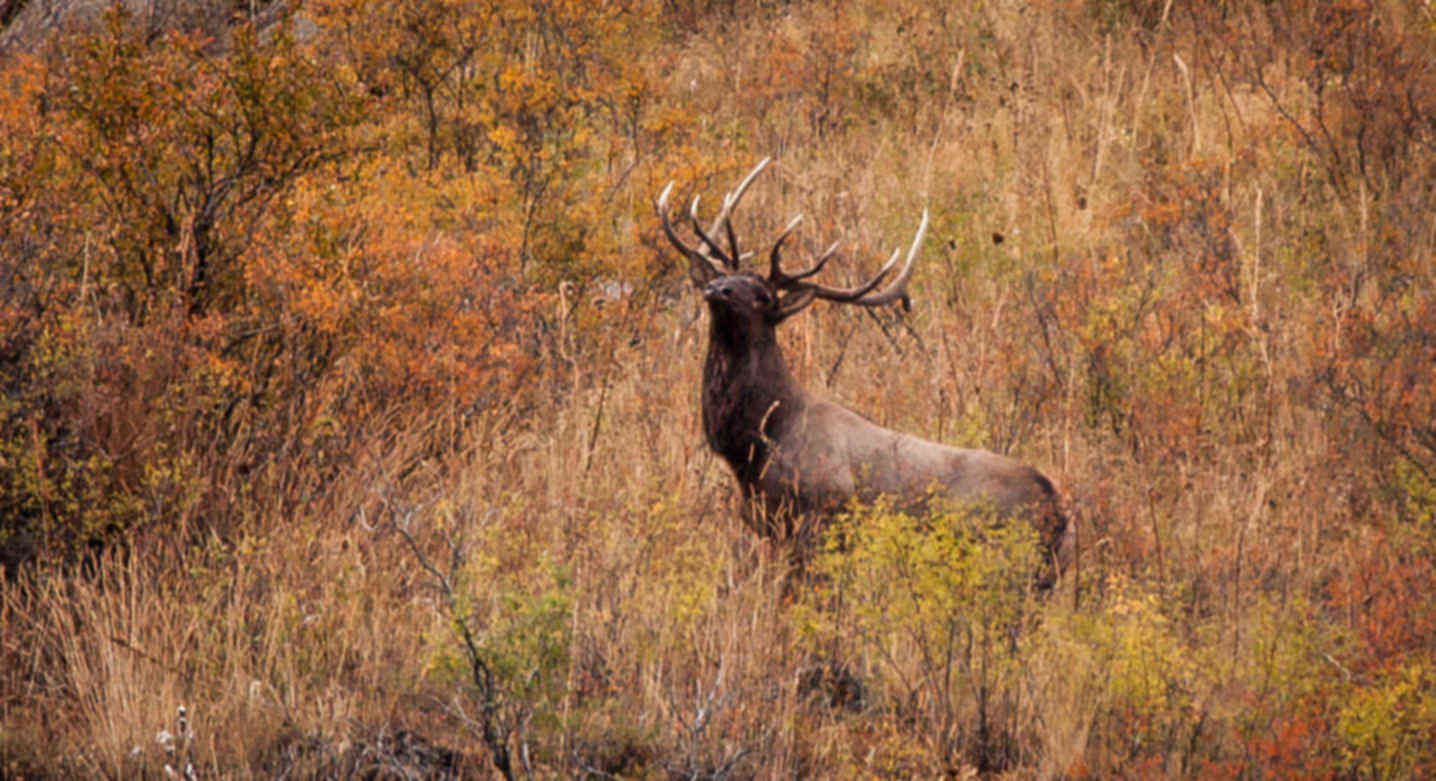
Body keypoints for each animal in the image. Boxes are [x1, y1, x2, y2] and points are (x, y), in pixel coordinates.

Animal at [657, 160, 1074, 585]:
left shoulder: (818, 519)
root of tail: (1058, 511)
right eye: (723, 276)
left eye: (764, 296)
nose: (718, 289)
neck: (755, 444)